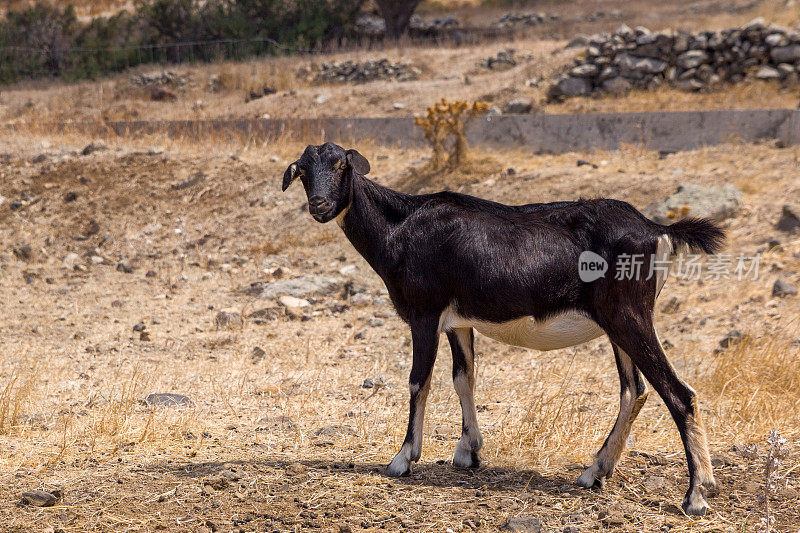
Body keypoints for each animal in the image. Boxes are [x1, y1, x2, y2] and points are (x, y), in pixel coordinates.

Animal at [282, 141, 724, 516]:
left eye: (341, 164)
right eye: (303, 170)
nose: (320, 204)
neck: (401, 227)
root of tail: (658, 230)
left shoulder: (425, 313)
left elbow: (418, 382)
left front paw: (403, 459)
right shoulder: (458, 322)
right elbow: (463, 377)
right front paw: (469, 451)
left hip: (629, 315)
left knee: (679, 394)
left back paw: (696, 495)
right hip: (618, 325)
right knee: (635, 390)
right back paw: (594, 472)